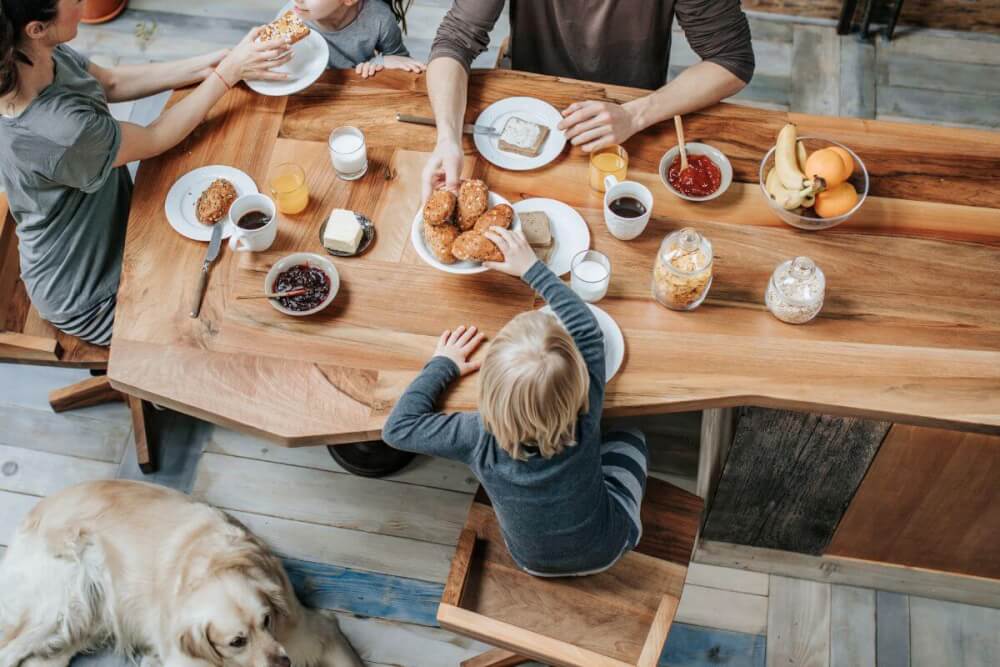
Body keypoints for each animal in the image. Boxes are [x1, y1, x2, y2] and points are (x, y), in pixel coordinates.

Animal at [0, 480, 364, 667]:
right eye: (236, 642)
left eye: (267, 621)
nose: (283, 663)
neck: (213, 566)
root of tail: (36, 510)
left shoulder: (316, 631)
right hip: (58, 607)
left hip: (82, 621)